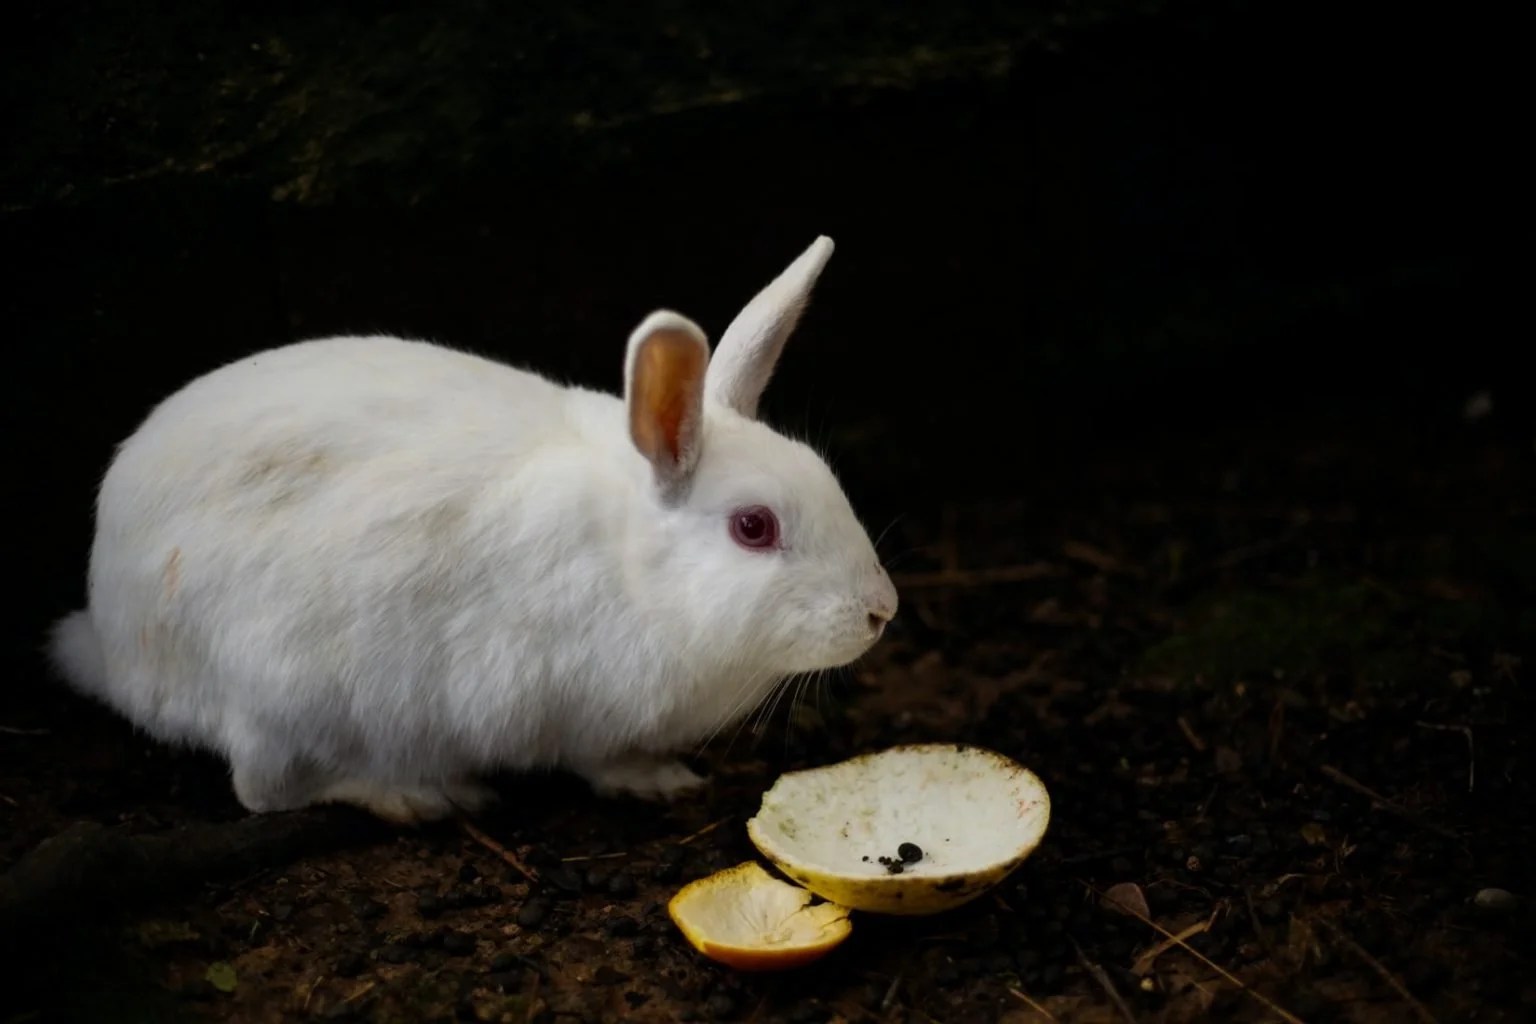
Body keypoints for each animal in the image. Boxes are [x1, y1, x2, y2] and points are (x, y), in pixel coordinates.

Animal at [48, 235, 899, 824]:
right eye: (753, 527)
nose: (880, 611)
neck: (633, 569)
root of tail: (113, 643)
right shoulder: (573, 708)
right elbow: (601, 761)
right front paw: (659, 781)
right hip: (277, 694)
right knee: (264, 793)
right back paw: (414, 795)